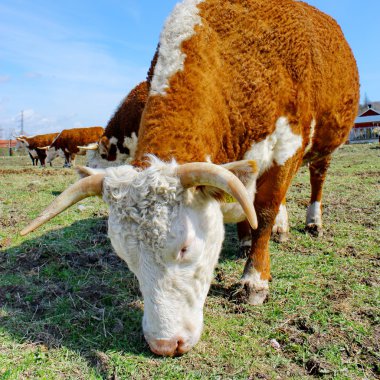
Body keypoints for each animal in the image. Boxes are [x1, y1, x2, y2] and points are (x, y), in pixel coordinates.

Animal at [21, 0, 360, 356]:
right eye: (124, 254)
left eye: (185, 248)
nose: (164, 344)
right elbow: (244, 201)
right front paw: (245, 237)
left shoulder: (288, 145)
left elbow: (264, 211)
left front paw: (254, 280)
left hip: (324, 144)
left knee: (315, 179)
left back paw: (312, 222)